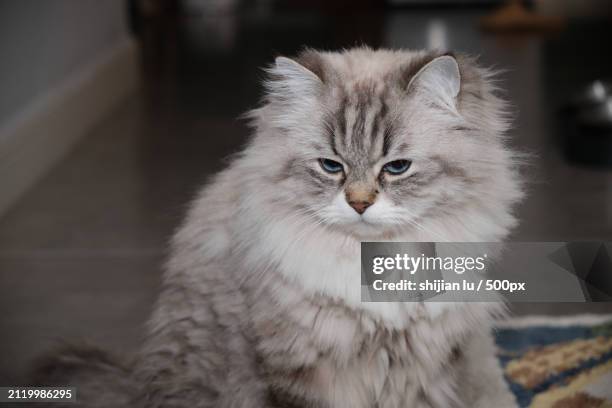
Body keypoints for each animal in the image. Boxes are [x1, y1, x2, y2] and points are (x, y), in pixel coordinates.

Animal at [33, 47, 520, 404]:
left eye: (397, 168)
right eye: (331, 166)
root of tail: (137, 383)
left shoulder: (430, 366)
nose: (359, 203)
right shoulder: (296, 368)